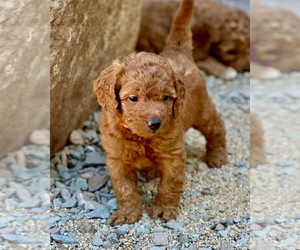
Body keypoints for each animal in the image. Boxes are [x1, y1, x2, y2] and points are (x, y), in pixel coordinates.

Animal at [94, 0, 227, 226]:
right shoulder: (116, 158)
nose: (155, 123)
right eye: (133, 98)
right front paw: (127, 213)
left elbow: (169, 185)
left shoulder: (174, 154)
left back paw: (217, 156)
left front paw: (164, 209)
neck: (140, 137)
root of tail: (177, 51)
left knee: (217, 127)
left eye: (166, 98)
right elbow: (125, 189)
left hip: (203, 111)